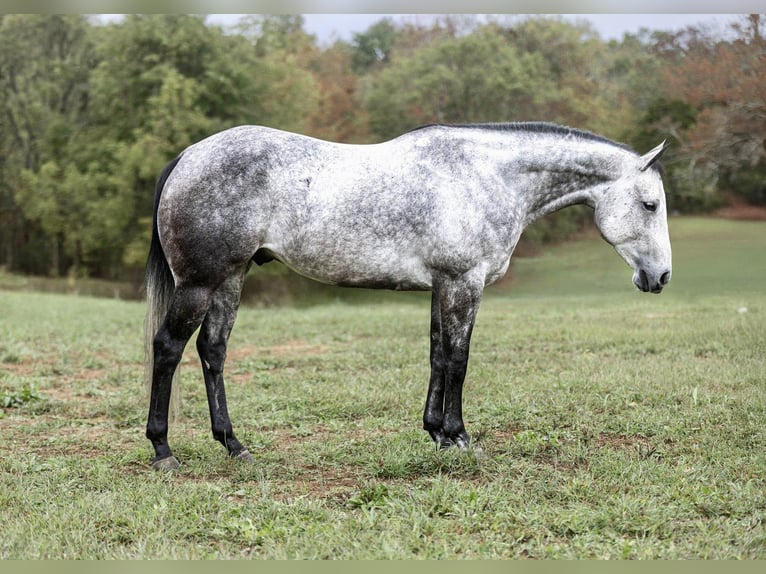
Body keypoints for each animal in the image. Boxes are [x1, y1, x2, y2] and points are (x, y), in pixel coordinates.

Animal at [144, 122, 671, 470]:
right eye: (650, 205)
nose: (661, 276)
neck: (487, 176)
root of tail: (188, 157)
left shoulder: (441, 285)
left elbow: (437, 355)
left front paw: (435, 433)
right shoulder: (463, 282)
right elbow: (459, 359)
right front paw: (459, 437)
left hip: (230, 280)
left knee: (212, 351)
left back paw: (233, 445)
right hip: (199, 284)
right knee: (167, 349)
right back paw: (163, 450)